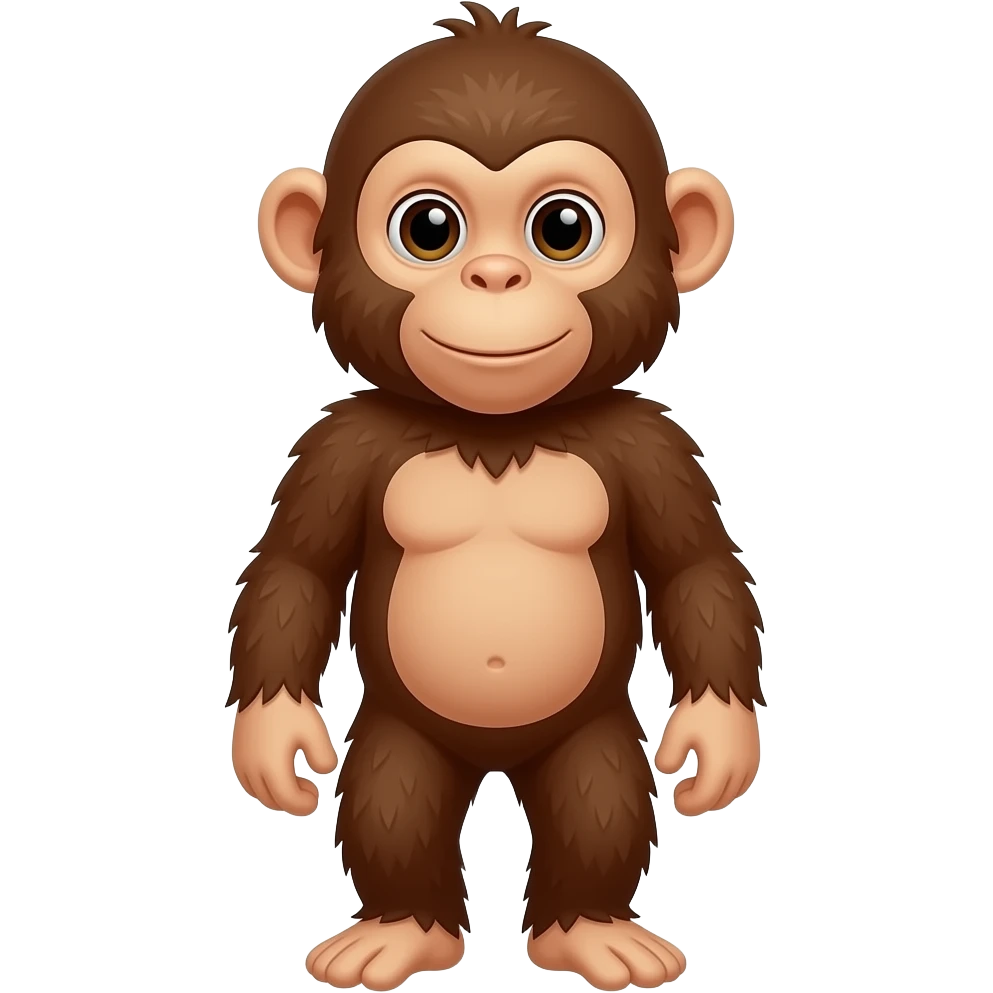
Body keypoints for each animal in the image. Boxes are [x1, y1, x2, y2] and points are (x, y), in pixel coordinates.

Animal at [232, 4, 763, 991]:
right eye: (428, 227)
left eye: (562, 227)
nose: (494, 278)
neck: (494, 431)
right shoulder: (339, 444)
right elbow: (296, 568)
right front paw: (272, 738)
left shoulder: (651, 445)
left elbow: (695, 568)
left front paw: (717, 739)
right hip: (403, 731)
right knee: (390, 799)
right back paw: (400, 930)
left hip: (587, 732)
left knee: (600, 799)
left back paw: (589, 929)